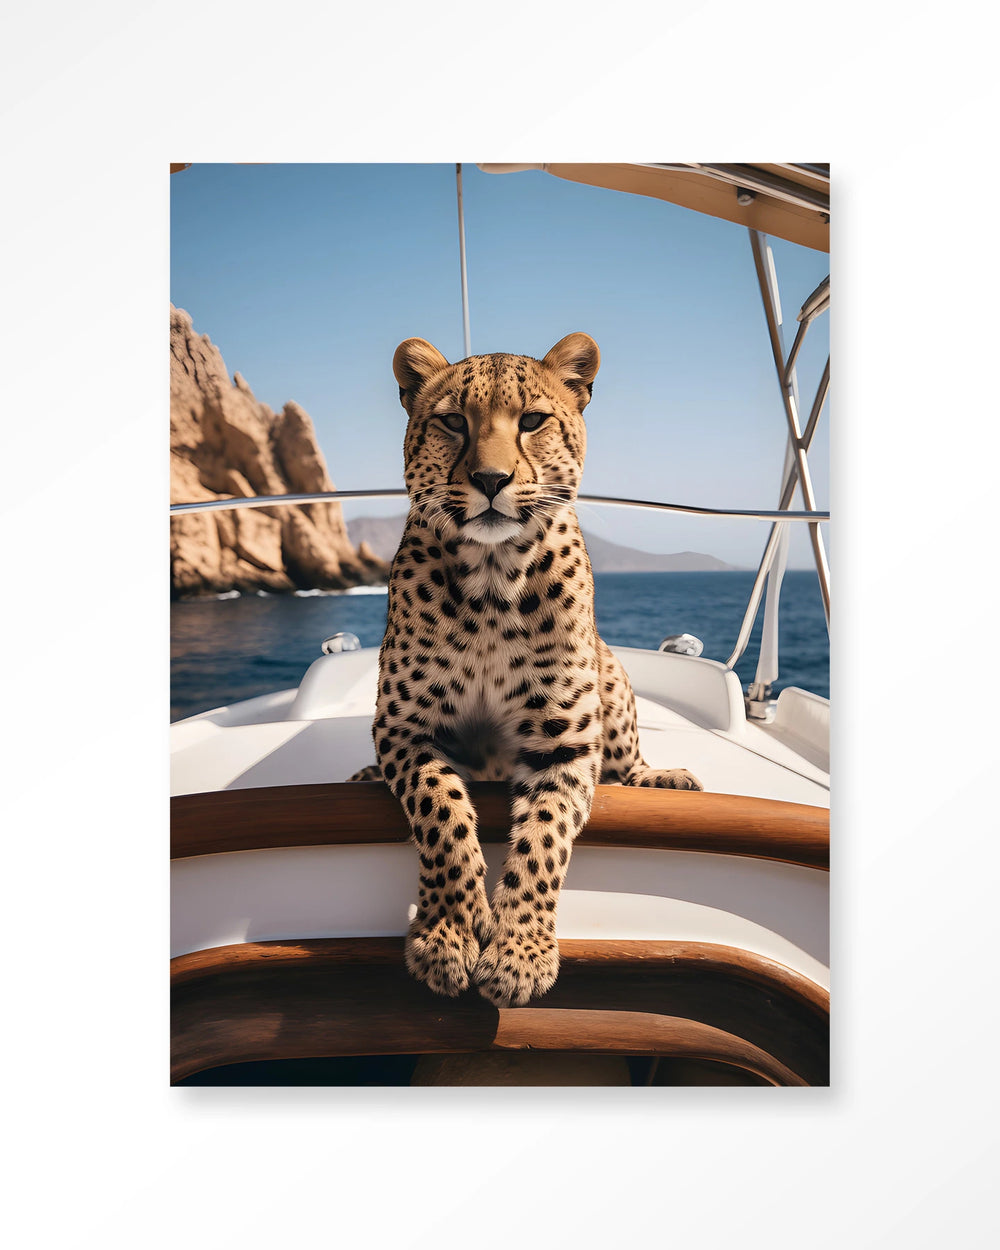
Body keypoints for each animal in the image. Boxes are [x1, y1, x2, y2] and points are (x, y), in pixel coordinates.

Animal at [350, 332, 702, 1007]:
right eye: (453, 422)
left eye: (533, 421)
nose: (491, 479)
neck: (492, 580)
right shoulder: (405, 727)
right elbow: (442, 812)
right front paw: (451, 933)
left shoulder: (564, 743)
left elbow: (543, 840)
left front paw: (519, 953)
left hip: (612, 675)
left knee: (626, 764)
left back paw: (663, 780)